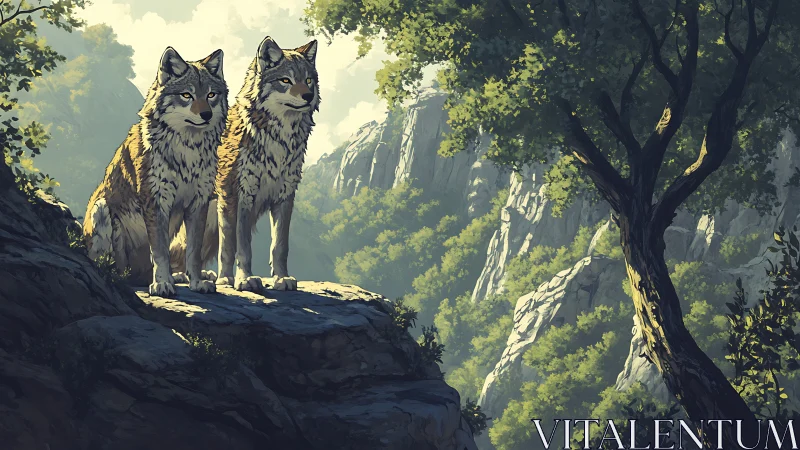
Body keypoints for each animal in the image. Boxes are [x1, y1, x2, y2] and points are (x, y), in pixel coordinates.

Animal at [82, 46, 228, 297]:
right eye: (187, 95)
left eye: (211, 95)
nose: (206, 115)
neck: (188, 150)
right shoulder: (156, 201)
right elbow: (159, 251)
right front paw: (161, 284)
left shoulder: (199, 203)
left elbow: (193, 252)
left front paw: (196, 282)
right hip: (101, 209)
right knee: (113, 267)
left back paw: (180, 276)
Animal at [195, 36, 319, 292]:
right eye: (286, 80)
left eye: (308, 80)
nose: (308, 96)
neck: (279, 141)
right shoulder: (242, 195)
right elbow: (240, 247)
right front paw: (242, 280)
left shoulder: (285, 196)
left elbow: (279, 246)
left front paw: (282, 279)